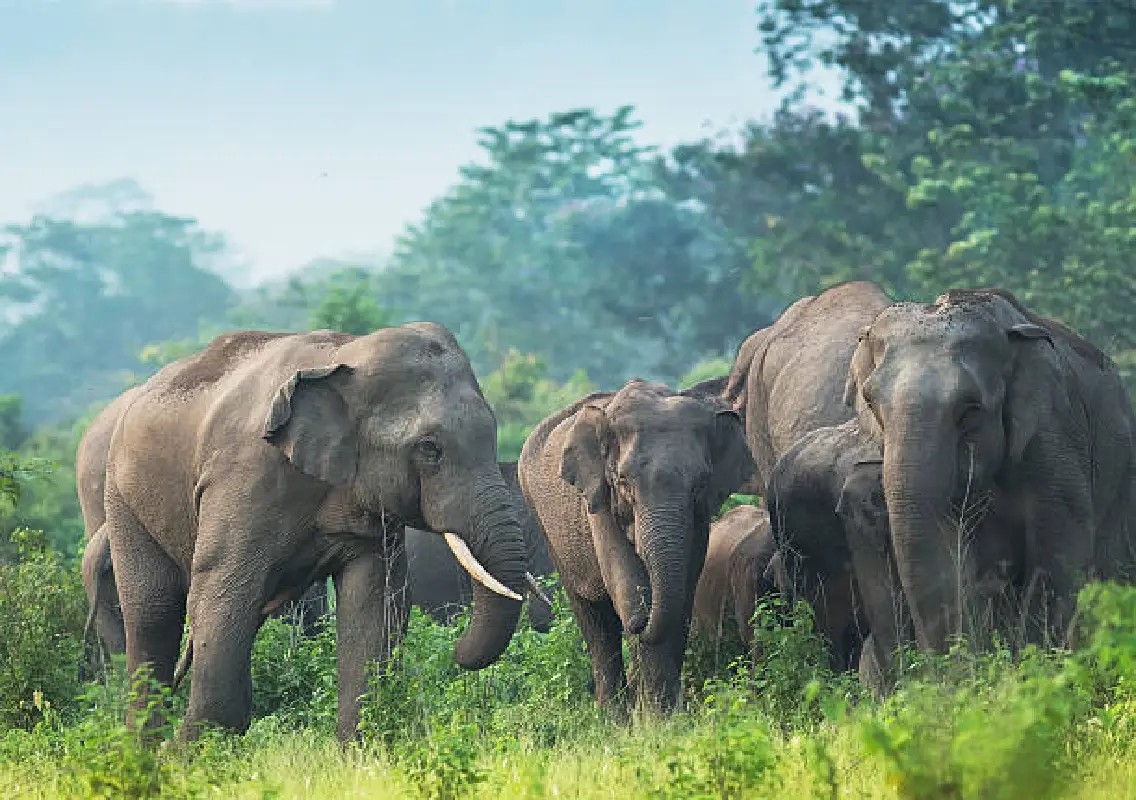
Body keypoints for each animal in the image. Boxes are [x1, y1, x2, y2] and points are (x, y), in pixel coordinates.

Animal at [100, 323, 531, 742]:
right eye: (429, 449)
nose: (455, 652)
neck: (345, 355)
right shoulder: (242, 480)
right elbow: (223, 591)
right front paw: (192, 753)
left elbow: (374, 600)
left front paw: (357, 751)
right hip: (122, 497)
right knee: (155, 613)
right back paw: (146, 751)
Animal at [518, 378, 755, 715]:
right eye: (623, 481)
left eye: (700, 484)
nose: (639, 622)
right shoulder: (598, 499)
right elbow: (625, 581)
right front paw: (656, 718)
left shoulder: (698, 519)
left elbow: (683, 595)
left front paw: (665, 716)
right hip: (545, 523)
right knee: (597, 625)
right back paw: (613, 718)